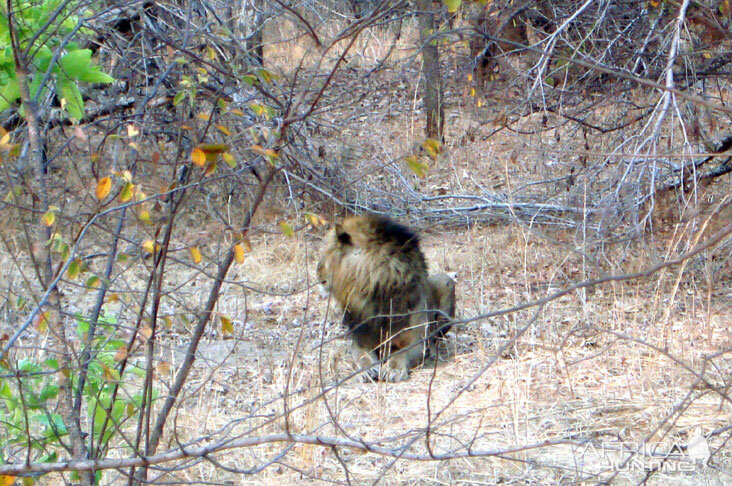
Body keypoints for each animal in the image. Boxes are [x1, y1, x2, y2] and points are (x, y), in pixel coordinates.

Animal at [318, 215, 454, 382]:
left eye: (326, 254)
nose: (317, 271)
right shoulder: (360, 340)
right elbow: (362, 356)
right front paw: (367, 370)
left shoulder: (416, 342)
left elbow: (400, 353)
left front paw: (394, 369)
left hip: (446, 282)